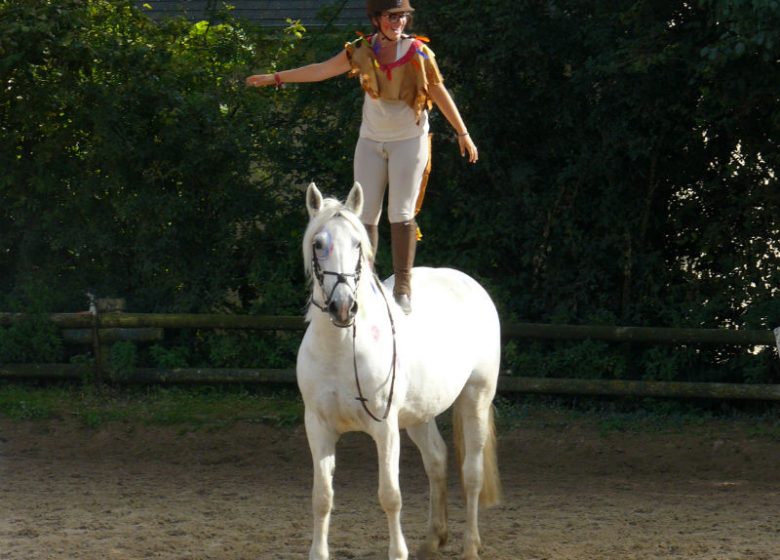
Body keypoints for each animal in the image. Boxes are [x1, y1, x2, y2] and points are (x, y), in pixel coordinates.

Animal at [296, 182, 502, 556]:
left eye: (358, 244)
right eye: (318, 244)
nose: (343, 306)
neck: (342, 350)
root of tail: (468, 284)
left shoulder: (386, 429)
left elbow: (390, 496)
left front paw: (398, 552)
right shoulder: (318, 427)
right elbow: (322, 497)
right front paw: (318, 553)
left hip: (475, 399)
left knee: (472, 474)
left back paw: (470, 545)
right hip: (420, 414)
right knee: (436, 460)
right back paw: (434, 539)